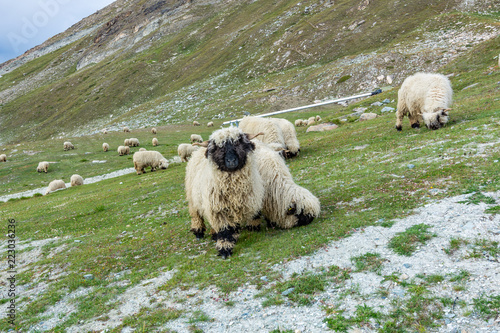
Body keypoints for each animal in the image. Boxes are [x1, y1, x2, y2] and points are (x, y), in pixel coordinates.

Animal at [185, 126, 266, 258]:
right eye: (219, 147)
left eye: (238, 143)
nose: (231, 160)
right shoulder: (218, 209)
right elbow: (224, 230)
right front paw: (224, 250)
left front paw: (233, 237)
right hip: (193, 199)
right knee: (196, 215)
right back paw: (198, 232)